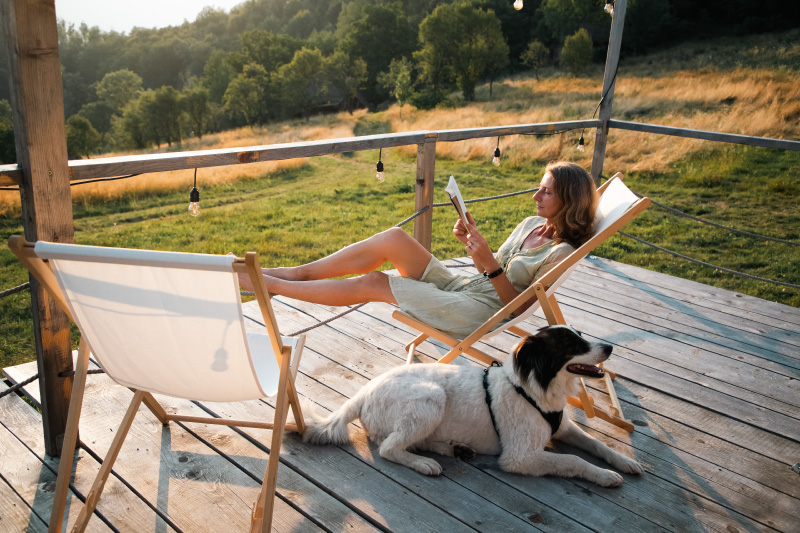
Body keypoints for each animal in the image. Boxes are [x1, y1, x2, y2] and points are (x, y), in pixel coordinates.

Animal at [300, 324, 644, 486]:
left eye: (581, 335)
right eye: (572, 345)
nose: (610, 348)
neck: (534, 388)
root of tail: (364, 391)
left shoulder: (563, 427)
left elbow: (597, 444)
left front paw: (623, 462)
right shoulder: (520, 457)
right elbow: (573, 460)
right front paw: (605, 476)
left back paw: (454, 449)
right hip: (432, 398)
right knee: (389, 448)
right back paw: (424, 463)